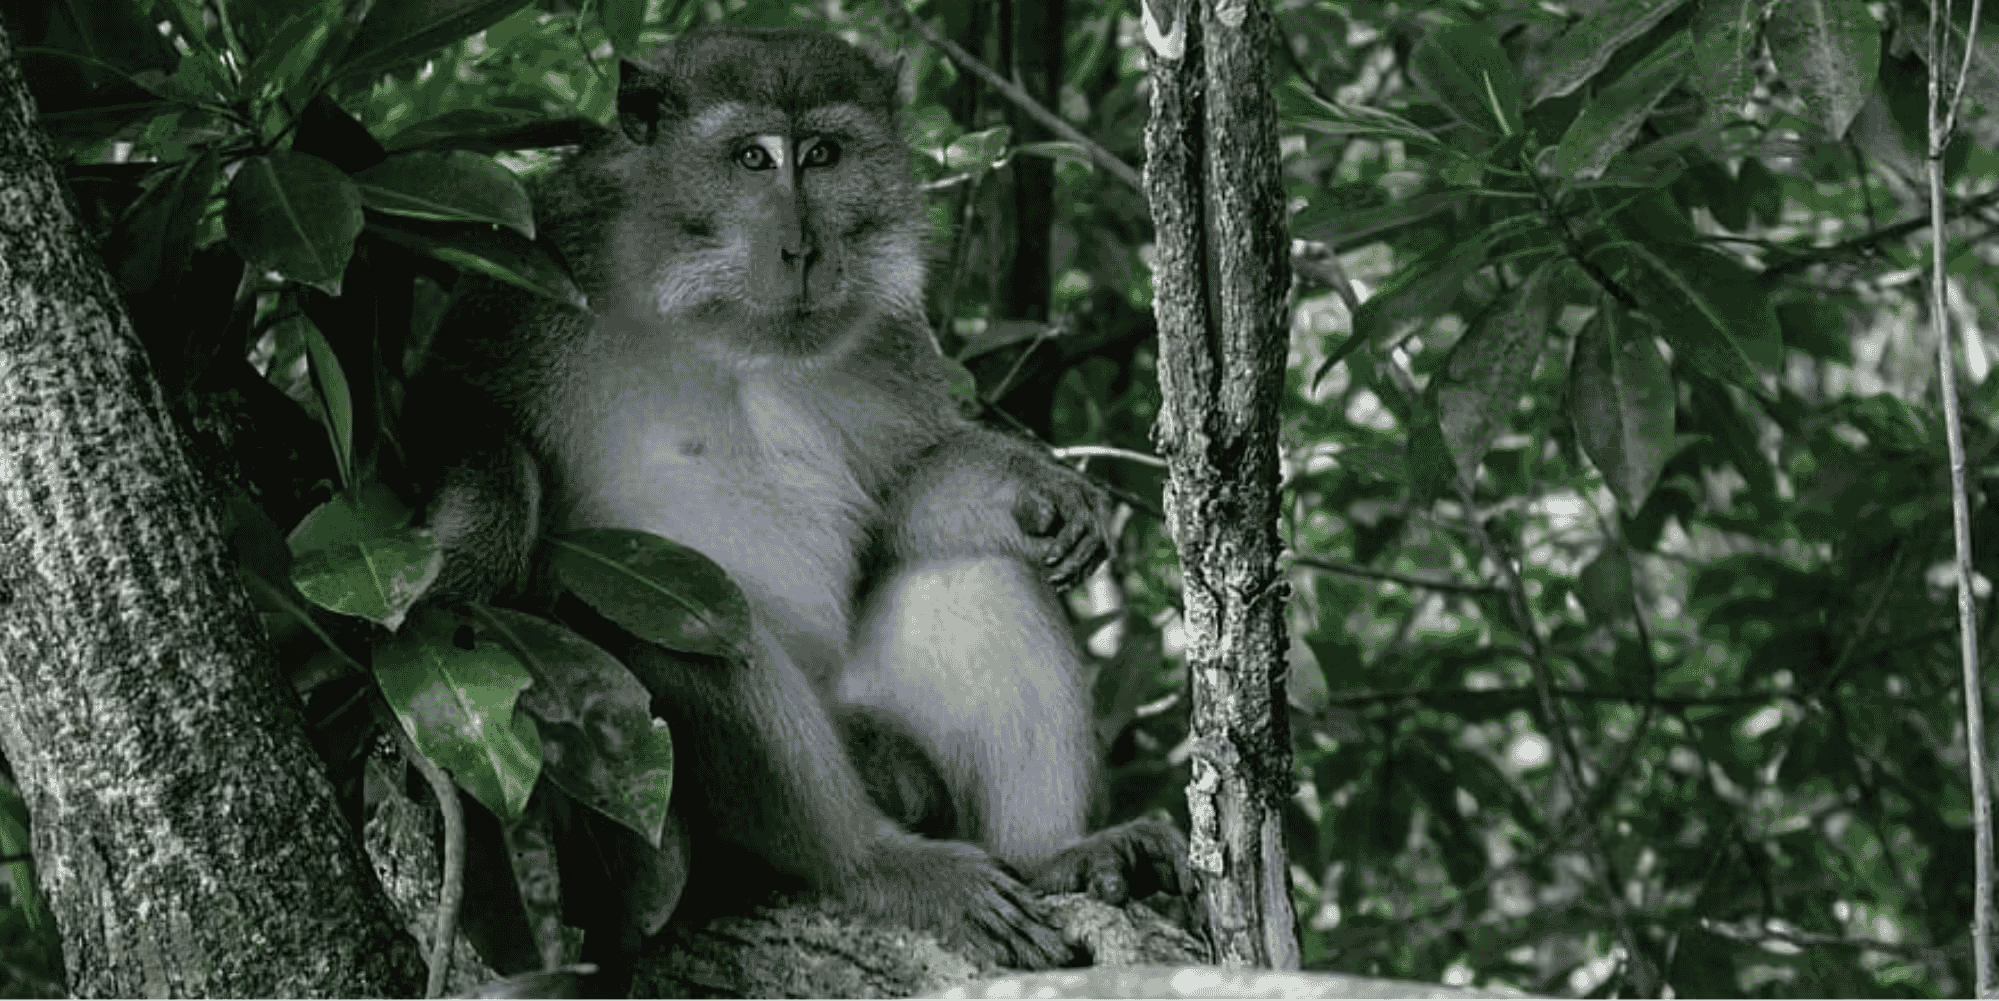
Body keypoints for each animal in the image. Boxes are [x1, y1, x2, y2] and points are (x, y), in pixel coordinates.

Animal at [410, 25, 1188, 975]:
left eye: (821, 155)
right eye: (751, 157)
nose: (803, 249)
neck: (717, 316)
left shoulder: (889, 330)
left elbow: (896, 493)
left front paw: (1030, 487)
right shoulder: (540, 266)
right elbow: (444, 416)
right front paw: (481, 538)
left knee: (975, 571)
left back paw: (1054, 854)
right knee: (681, 616)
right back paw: (877, 865)